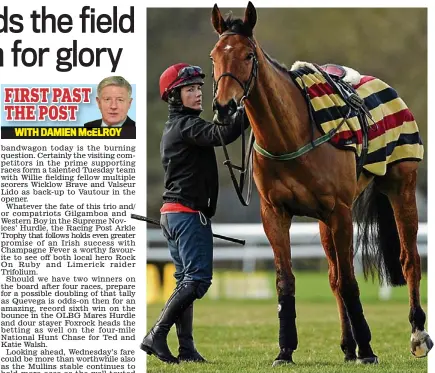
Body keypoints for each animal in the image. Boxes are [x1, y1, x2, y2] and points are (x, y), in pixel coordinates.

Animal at [211, 1, 432, 364]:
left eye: (247, 55)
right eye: (214, 55)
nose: (224, 107)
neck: (293, 134)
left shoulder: (341, 211)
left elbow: (350, 282)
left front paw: (368, 349)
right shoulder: (275, 213)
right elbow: (288, 280)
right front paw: (285, 349)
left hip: (401, 186)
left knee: (409, 259)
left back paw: (417, 334)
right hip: (325, 221)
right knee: (333, 276)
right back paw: (347, 345)